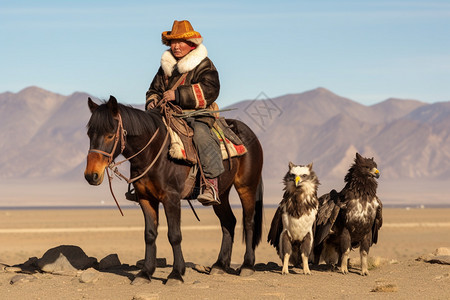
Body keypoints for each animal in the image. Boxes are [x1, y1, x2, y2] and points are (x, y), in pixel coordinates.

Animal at [84, 96, 264, 284]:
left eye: (110, 134)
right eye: (89, 134)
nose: (91, 175)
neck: (154, 152)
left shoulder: (171, 198)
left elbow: (174, 235)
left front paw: (176, 273)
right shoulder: (146, 198)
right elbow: (149, 234)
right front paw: (145, 273)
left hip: (246, 187)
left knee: (248, 222)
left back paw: (247, 265)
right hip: (221, 194)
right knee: (229, 222)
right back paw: (220, 265)